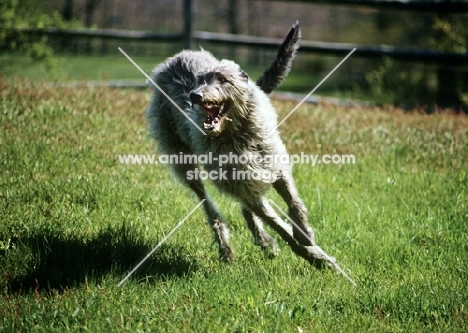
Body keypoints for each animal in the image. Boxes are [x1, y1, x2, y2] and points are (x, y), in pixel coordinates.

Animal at [146, 22, 336, 268]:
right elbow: (278, 226)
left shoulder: (274, 164)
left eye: (222, 80)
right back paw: (227, 246)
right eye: (201, 80)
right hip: (184, 161)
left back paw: (261, 238)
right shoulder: (243, 186)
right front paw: (315, 257)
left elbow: (293, 201)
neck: (237, 133)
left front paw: (304, 233)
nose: (194, 95)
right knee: (207, 203)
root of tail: (173, 60)